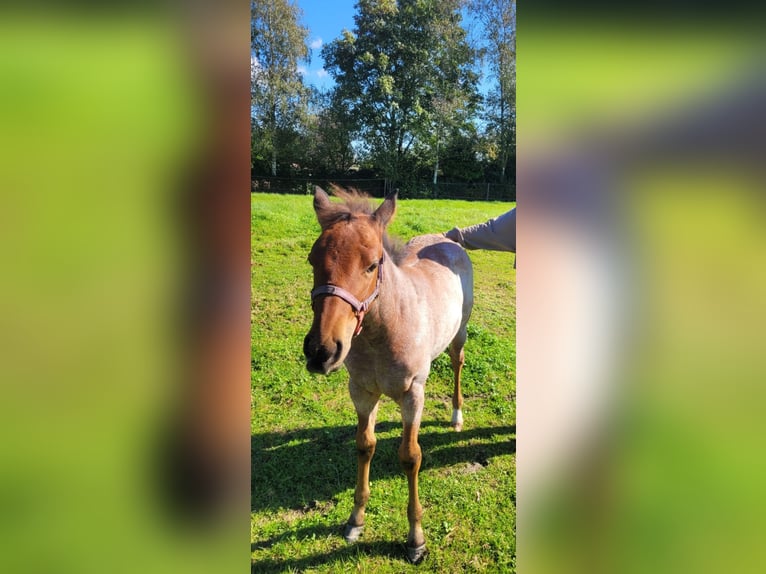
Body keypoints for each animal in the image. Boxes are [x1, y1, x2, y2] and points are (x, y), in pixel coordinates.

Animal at [302, 188, 472, 564]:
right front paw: (355, 521)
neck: (382, 332)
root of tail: (447, 239)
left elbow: (410, 457)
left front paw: (416, 540)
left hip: (460, 333)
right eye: (312, 260)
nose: (321, 352)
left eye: (372, 264)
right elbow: (365, 445)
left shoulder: (412, 394)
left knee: (457, 363)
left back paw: (456, 415)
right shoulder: (362, 391)